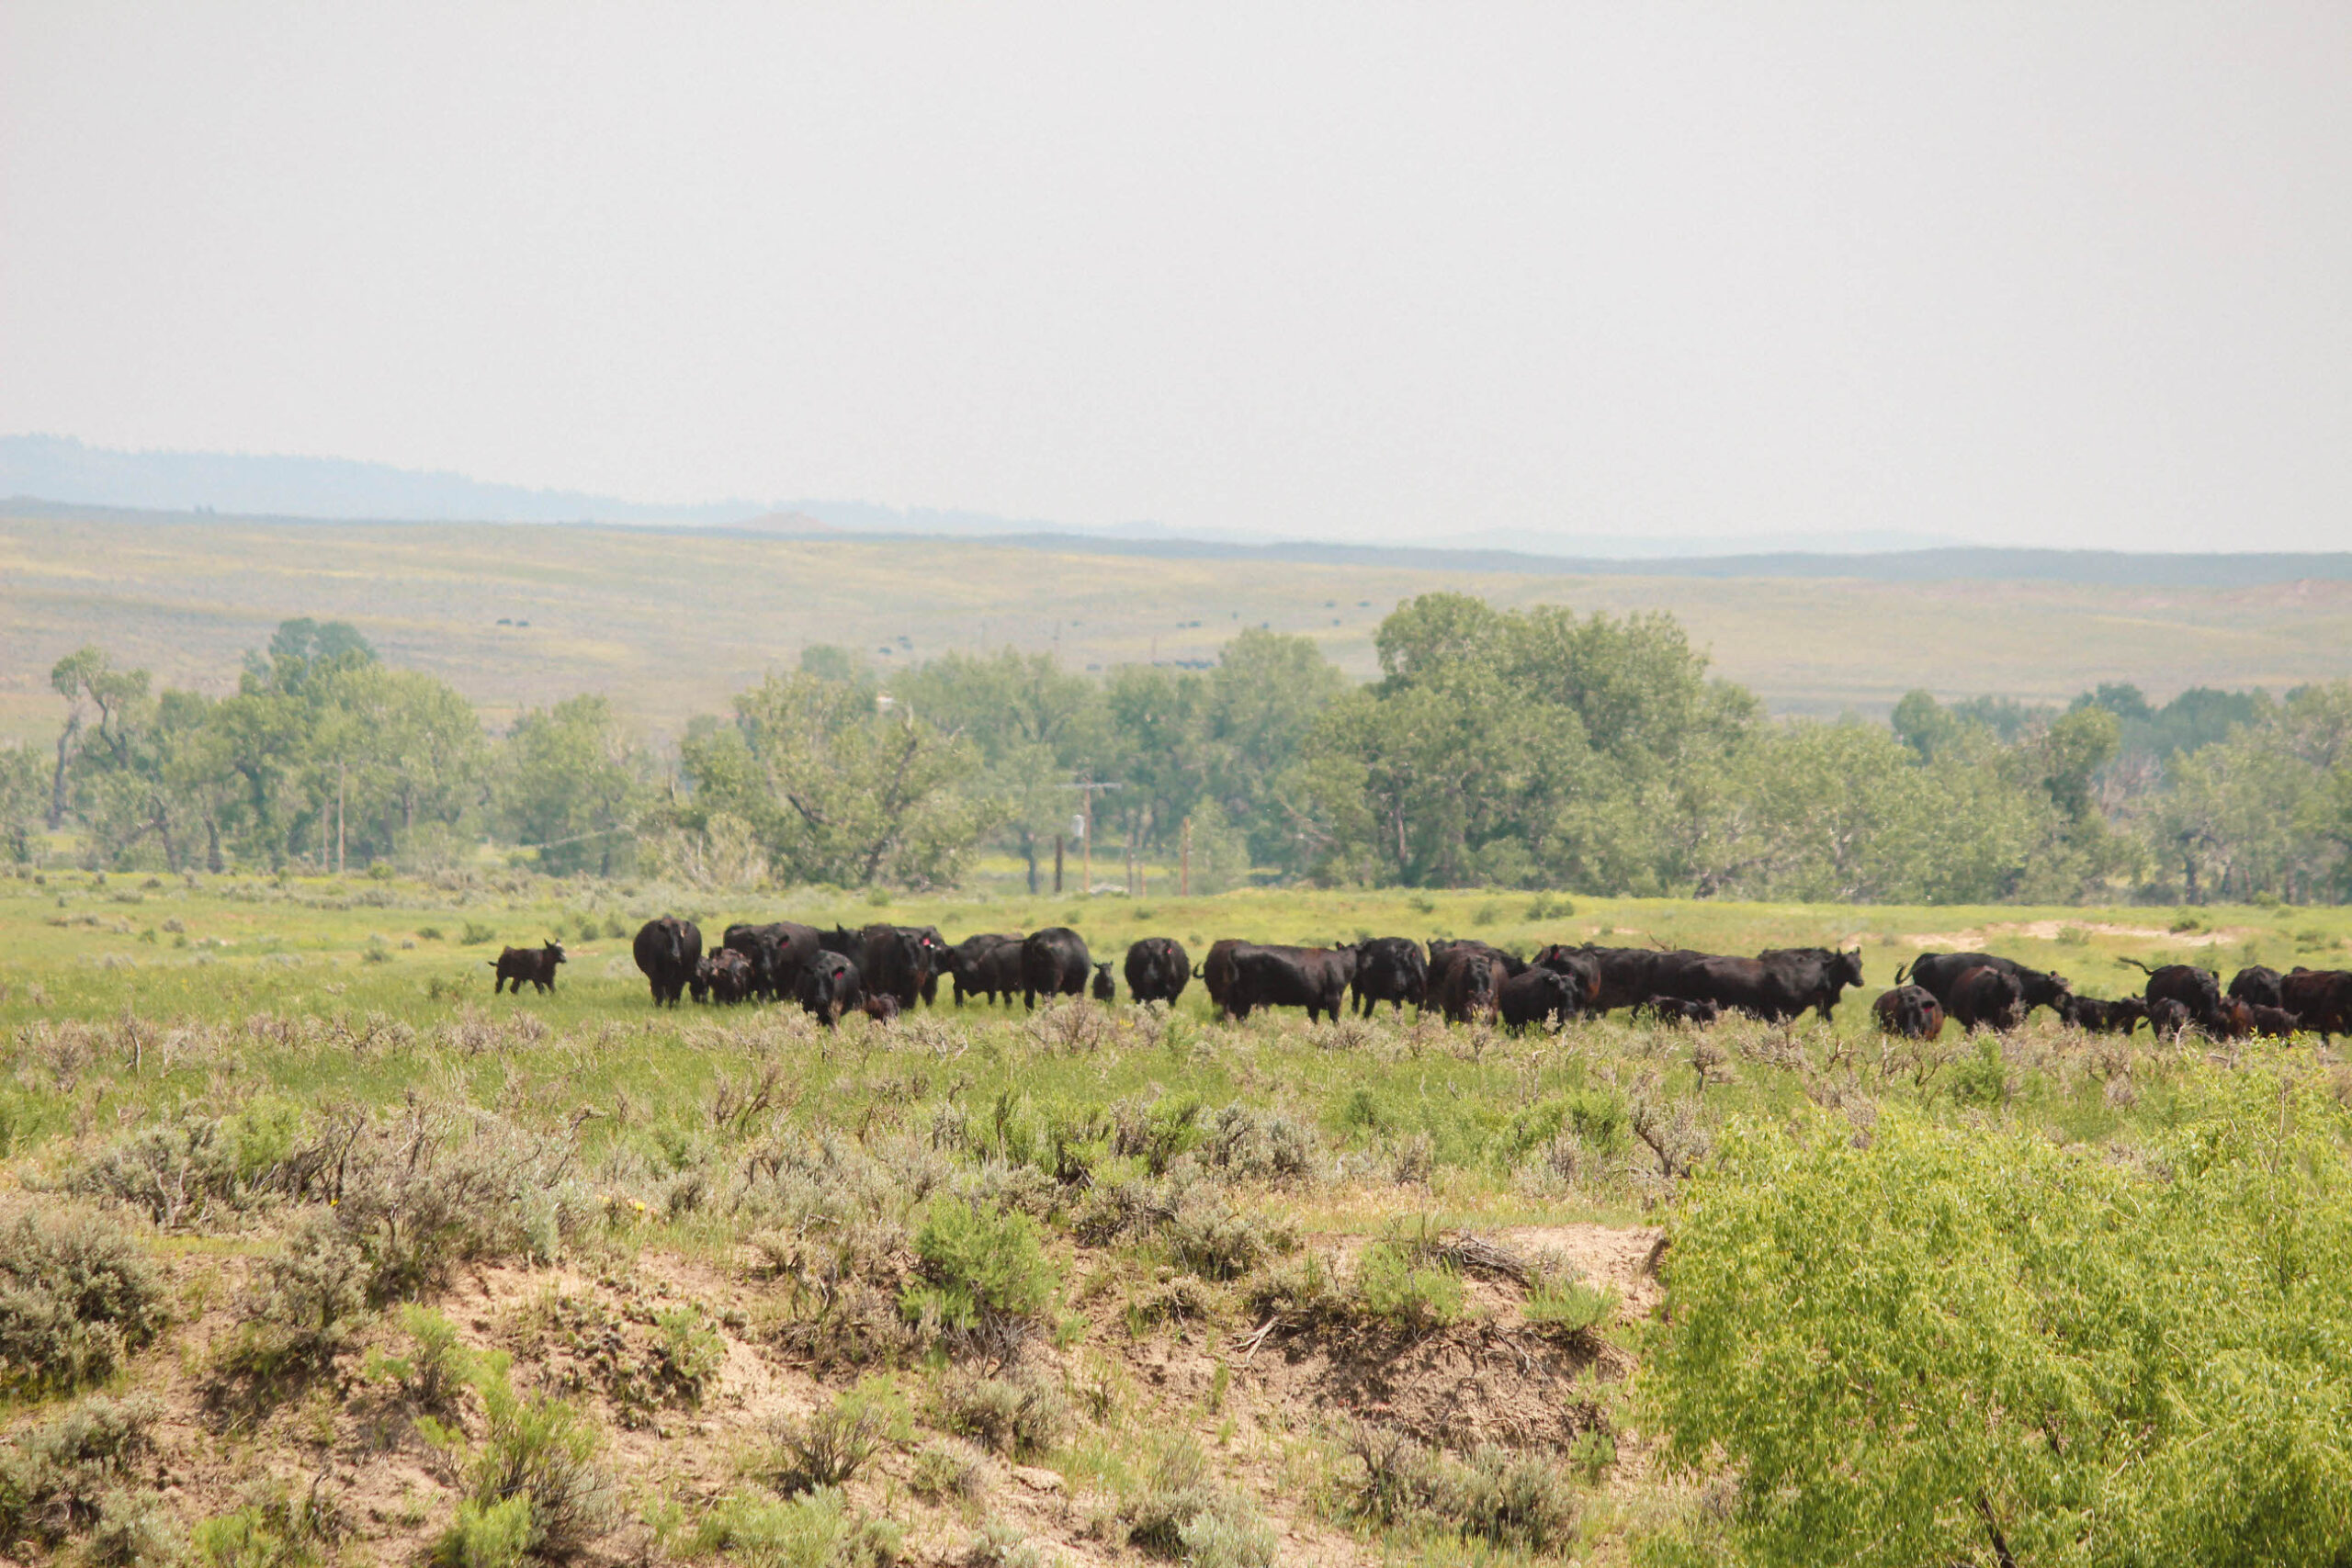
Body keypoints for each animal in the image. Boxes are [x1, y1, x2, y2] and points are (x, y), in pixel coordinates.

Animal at [1228, 944, 1359, 1023]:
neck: (1342, 963)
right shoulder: (1334, 998)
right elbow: (1335, 1019)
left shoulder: (1313, 1003)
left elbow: (1315, 1020)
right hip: (1247, 996)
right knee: (1241, 1014)